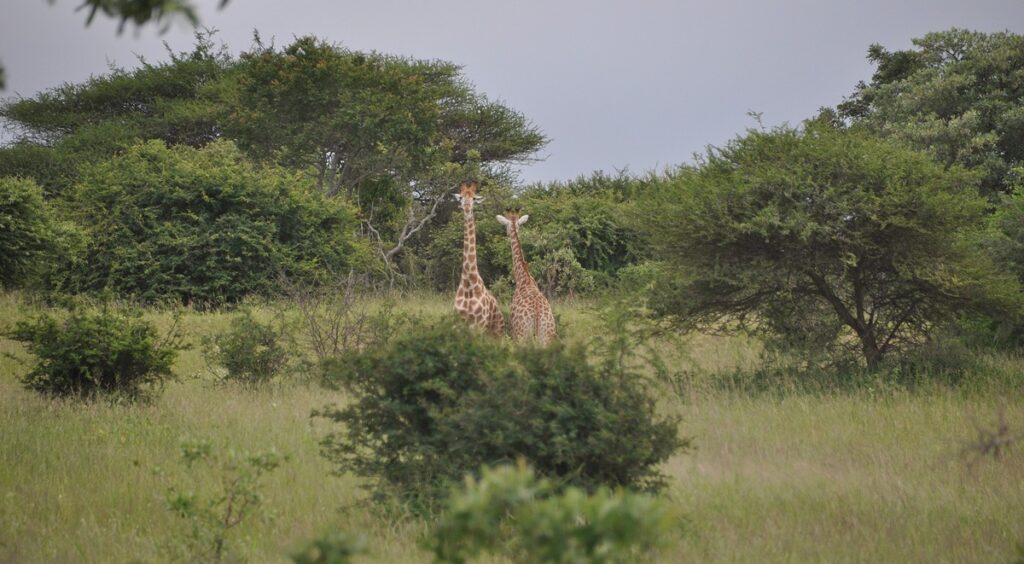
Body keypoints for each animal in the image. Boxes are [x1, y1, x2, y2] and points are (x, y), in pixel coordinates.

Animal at [454, 183, 505, 337]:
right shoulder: (457, 324)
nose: (466, 207)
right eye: (461, 197)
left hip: (497, 333)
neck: (468, 281)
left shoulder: (478, 326)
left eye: (474, 198)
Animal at [497, 209, 561, 345]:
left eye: (505, 226)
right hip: (547, 336)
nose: (506, 234)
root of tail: (537, 315)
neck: (523, 278)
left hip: (522, 335)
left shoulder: (513, 332)